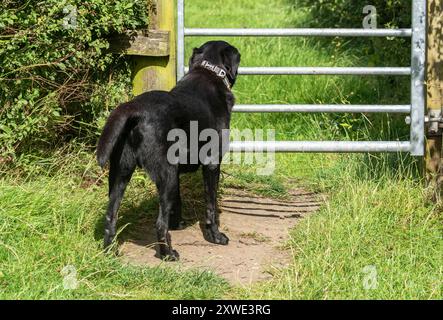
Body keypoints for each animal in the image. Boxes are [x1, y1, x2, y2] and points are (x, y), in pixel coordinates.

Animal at [97, 40, 243, 260]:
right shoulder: (211, 163)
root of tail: (134, 108)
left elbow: (177, 202)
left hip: (120, 173)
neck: (208, 70)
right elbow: (210, 206)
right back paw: (168, 253)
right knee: (158, 223)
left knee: (111, 215)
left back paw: (110, 251)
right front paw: (215, 236)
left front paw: (177, 224)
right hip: (167, 175)